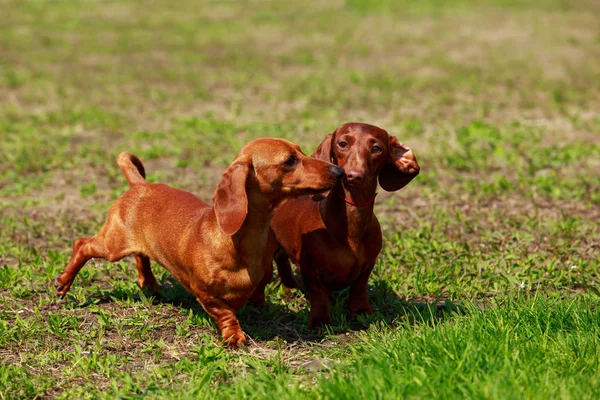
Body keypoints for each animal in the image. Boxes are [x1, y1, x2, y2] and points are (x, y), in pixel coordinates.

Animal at [54, 138, 344, 346]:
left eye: (301, 151)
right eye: (290, 160)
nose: (339, 170)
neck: (241, 242)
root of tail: (139, 185)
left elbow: (251, 294)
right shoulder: (204, 292)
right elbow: (226, 313)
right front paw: (233, 336)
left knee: (141, 257)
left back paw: (150, 284)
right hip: (113, 246)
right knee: (82, 244)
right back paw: (64, 282)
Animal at [270, 123, 420, 330]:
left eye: (376, 148)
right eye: (342, 144)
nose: (353, 176)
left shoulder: (367, 265)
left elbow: (359, 288)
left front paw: (361, 313)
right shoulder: (309, 269)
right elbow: (318, 294)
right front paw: (320, 320)